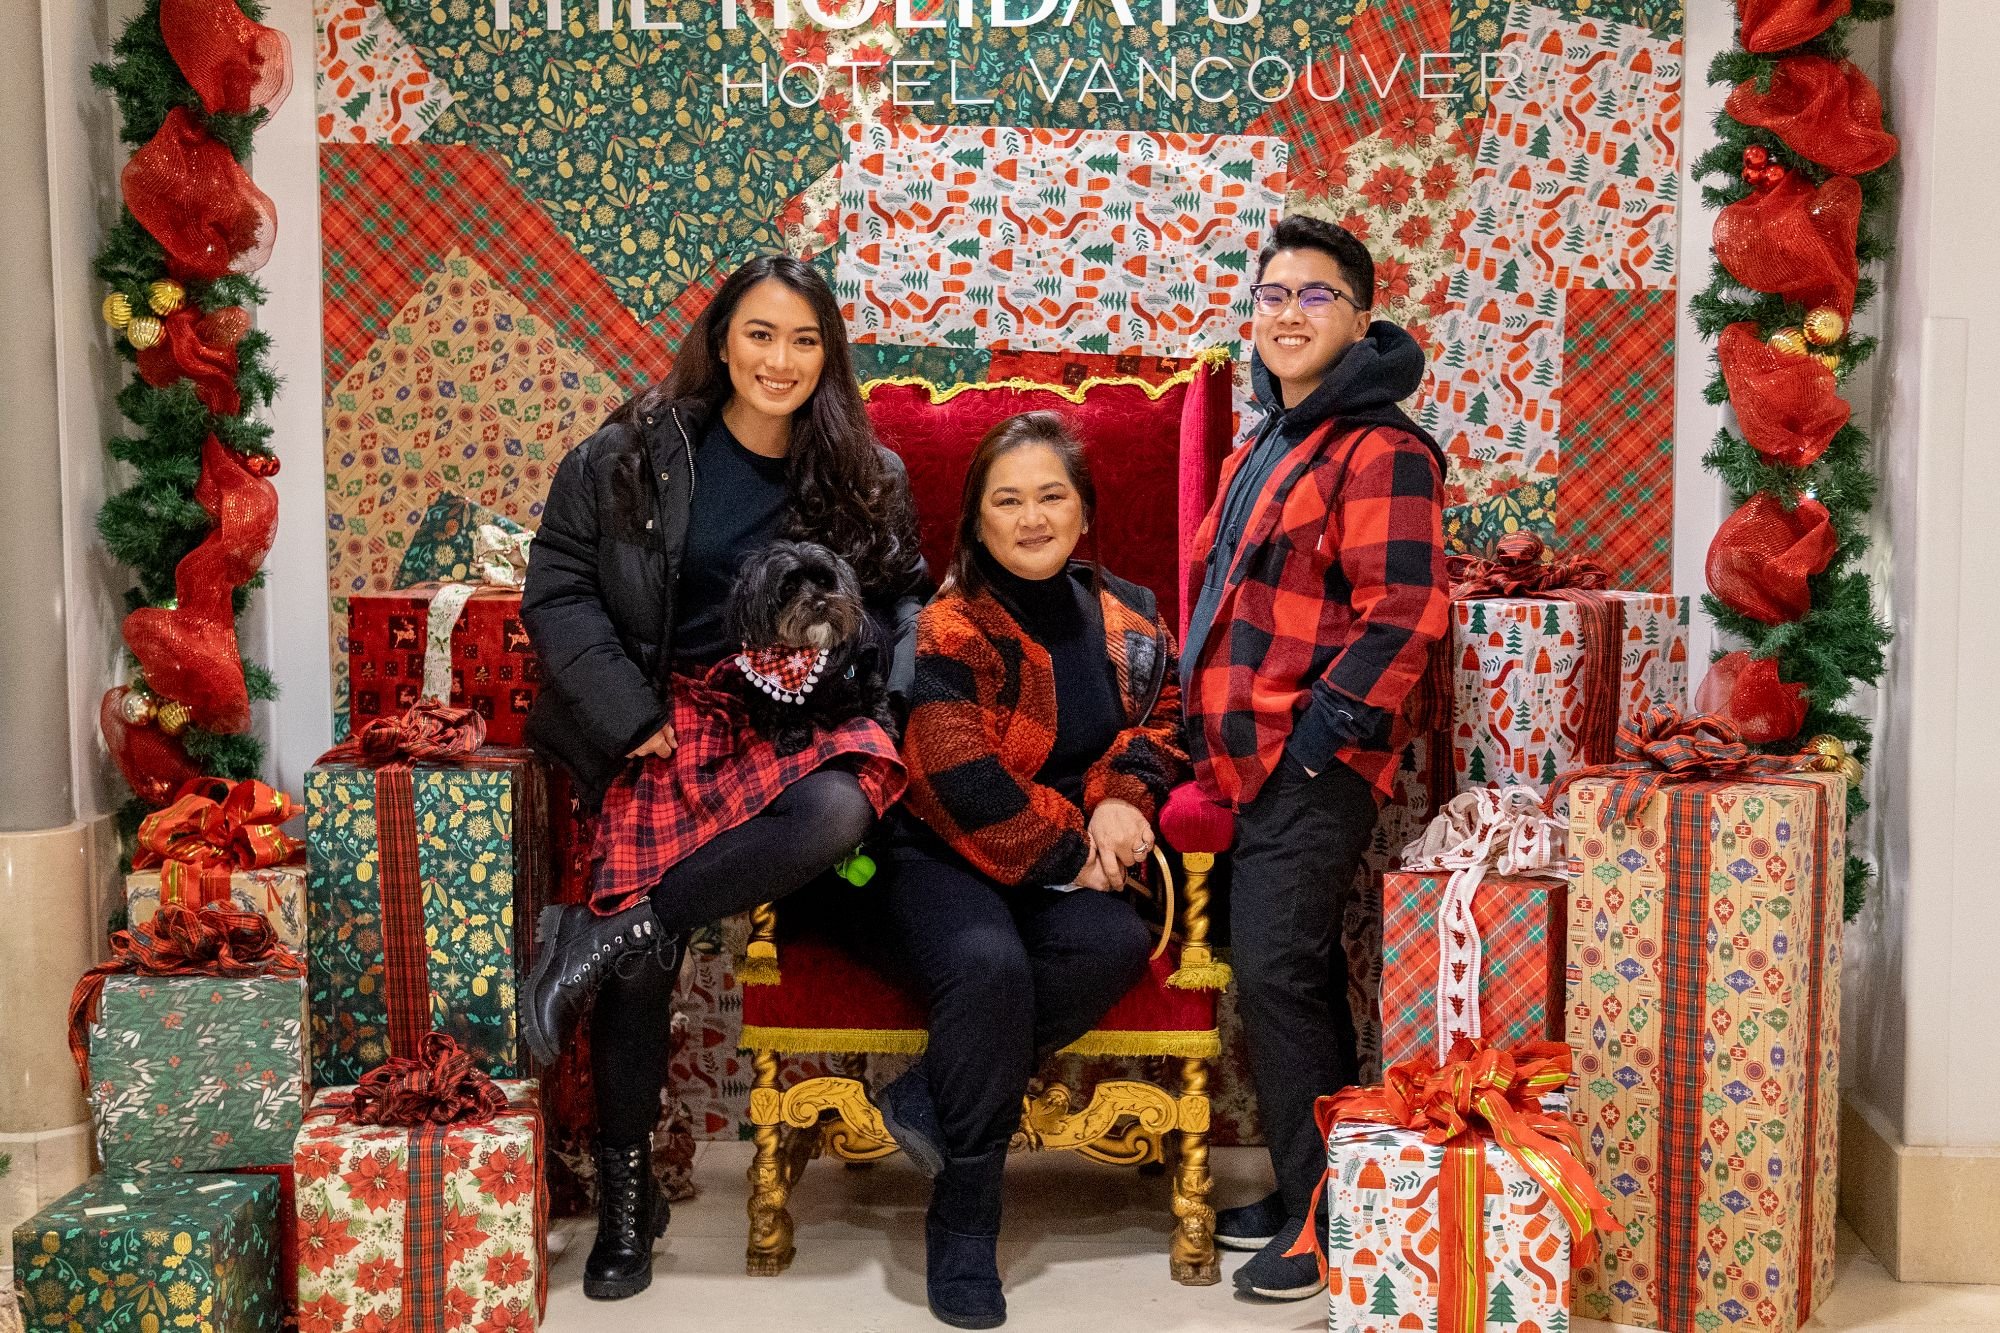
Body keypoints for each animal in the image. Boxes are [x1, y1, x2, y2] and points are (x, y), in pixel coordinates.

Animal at [723, 540, 896, 757]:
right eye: (789, 587)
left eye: (823, 581)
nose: (821, 604)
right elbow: (778, 709)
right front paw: (790, 737)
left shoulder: (863, 671)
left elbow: (874, 697)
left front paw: (885, 728)